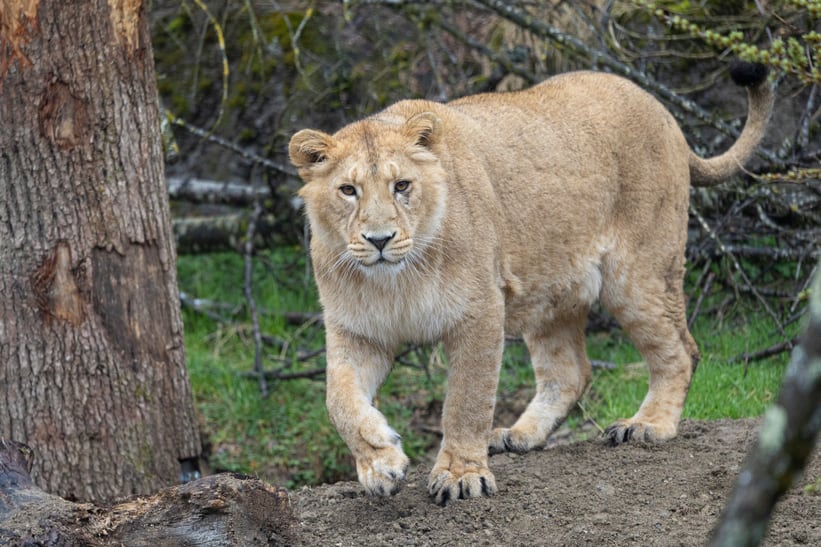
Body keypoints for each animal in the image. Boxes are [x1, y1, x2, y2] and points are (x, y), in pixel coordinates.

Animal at [288, 63, 773, 505]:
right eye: (348, 190)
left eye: (402, 185)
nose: (380, 239)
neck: (396, 281)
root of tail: (661, 108)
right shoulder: (357, 331)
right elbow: (339, 401)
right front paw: (380, 464)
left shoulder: (480, 312)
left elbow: (466, 401)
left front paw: (461, 475)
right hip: (551, 291)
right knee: (571, 371)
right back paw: (520, 435)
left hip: (638, 274)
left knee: (681, 350)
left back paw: (647, 425)